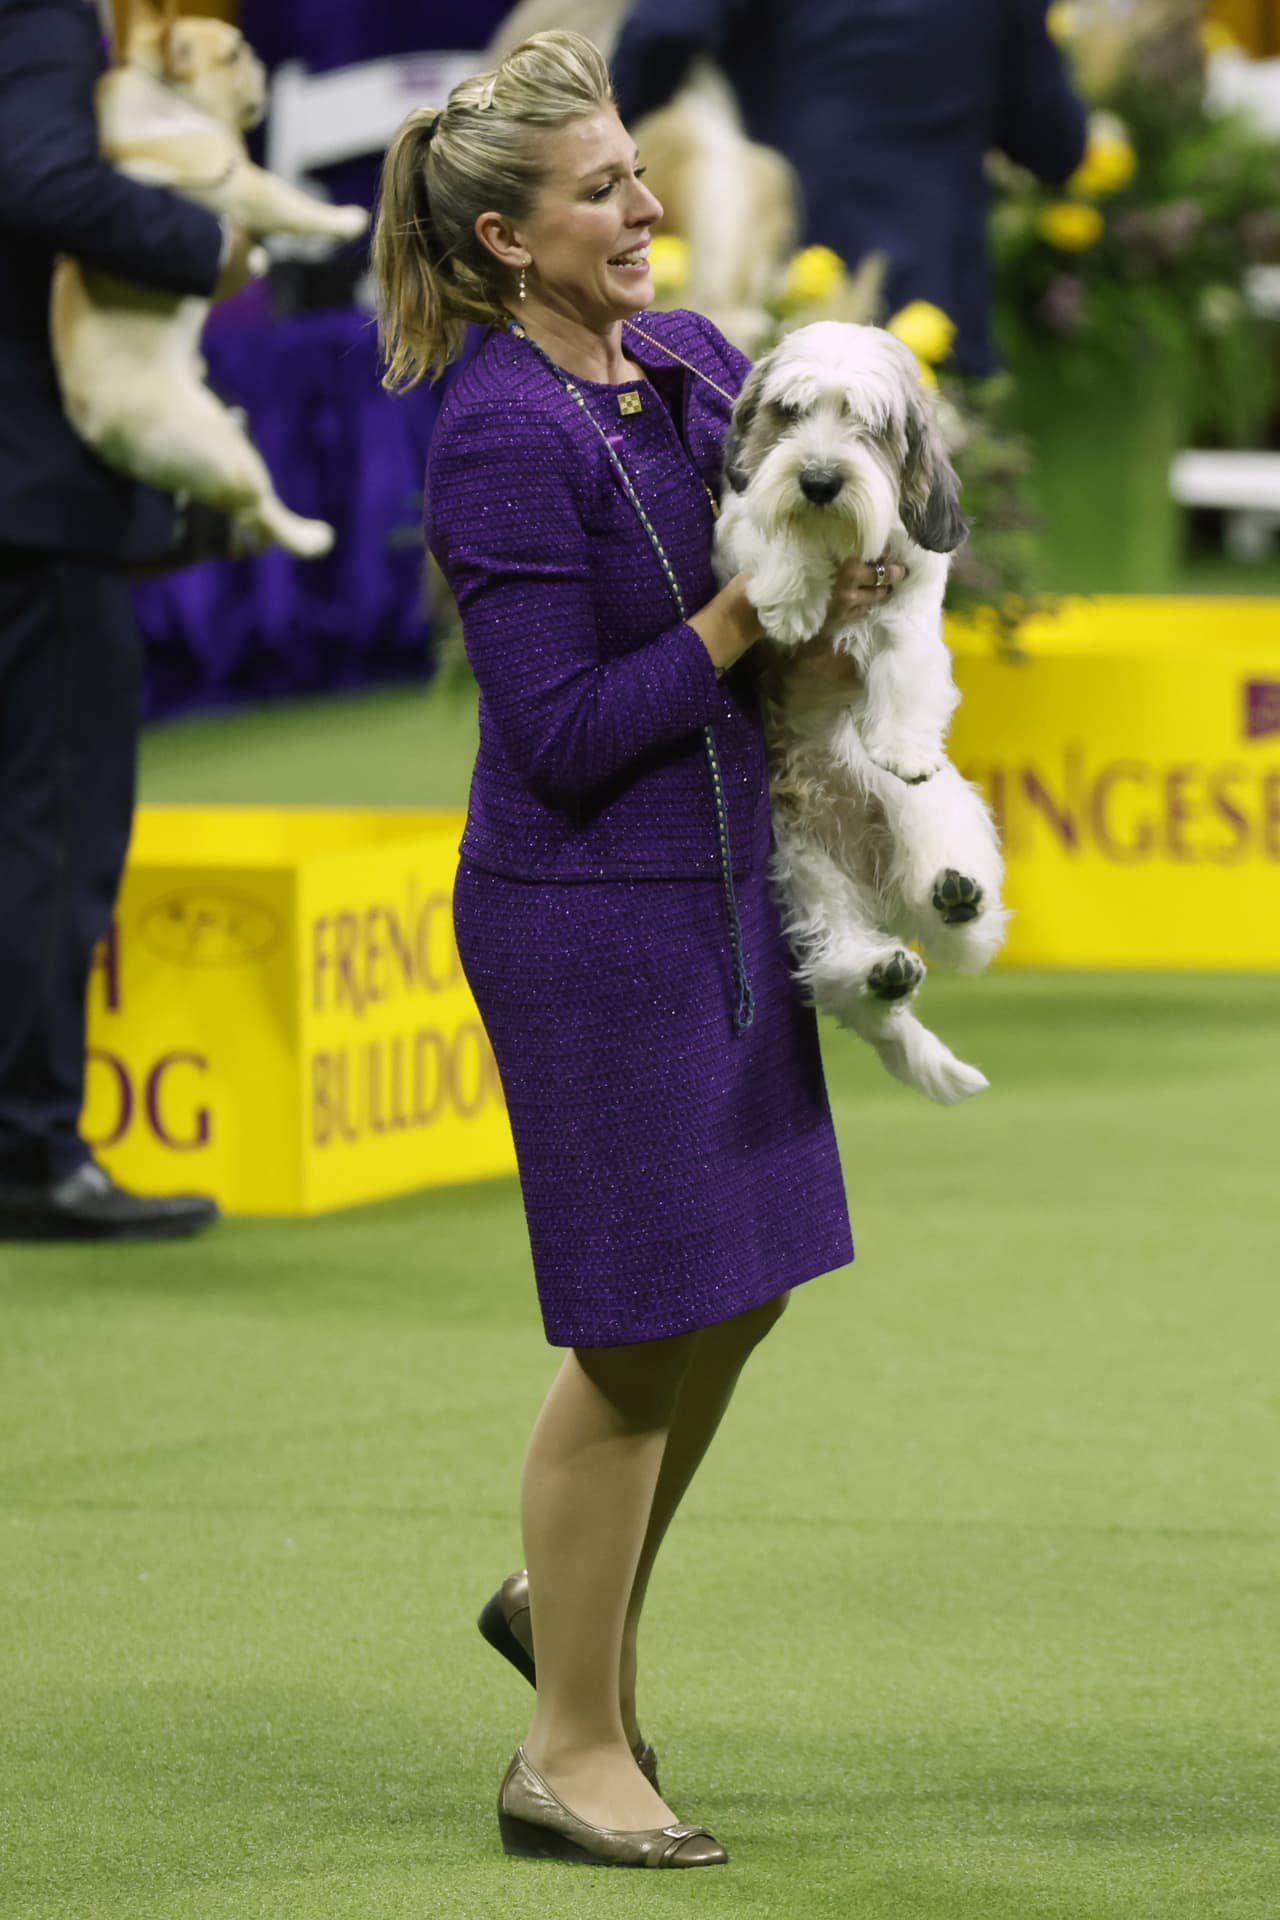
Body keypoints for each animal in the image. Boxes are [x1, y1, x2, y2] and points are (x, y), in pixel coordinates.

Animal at [51, 0, 370, 560]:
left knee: (246, 510)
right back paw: (310, 536)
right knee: (256, 500)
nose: (259, 59)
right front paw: (345, 219)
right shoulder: (241, 182)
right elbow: (292, 202)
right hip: (220, 447)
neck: (164, 104)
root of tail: (89, 423)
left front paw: (262, 261)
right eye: (234, 54)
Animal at [717, 322, 1005, 1105]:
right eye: (789, 411)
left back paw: (957, 902)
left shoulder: (913, 586)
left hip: (928, 812)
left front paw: (902, 741)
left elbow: (906, 652)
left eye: (867, 424)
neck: (834, 539)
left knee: (965, 935)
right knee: (837, 969)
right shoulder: (737, 532)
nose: (819, 479)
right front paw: (790, 593)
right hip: (801, 871)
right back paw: (881, 973)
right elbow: (768, 535)